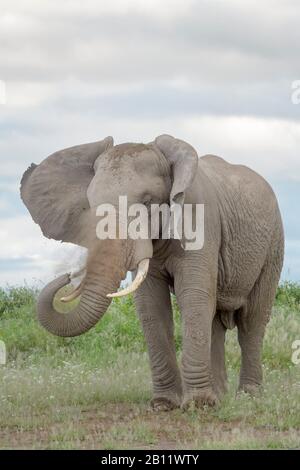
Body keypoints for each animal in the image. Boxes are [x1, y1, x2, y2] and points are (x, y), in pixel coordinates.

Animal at [20, 134, 284, 410]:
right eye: (90, 207)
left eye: (147, 203)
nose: (66, 277)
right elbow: (151, 304)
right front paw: (165, 405)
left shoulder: (199, 219)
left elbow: (193, 296)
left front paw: (197, 405)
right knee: (216, 323)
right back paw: (220, 396)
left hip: (273, 244)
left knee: (252, 320)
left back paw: (249, 397)